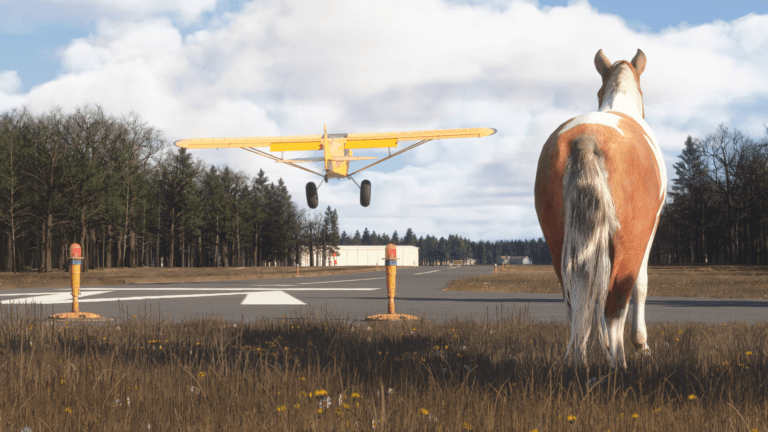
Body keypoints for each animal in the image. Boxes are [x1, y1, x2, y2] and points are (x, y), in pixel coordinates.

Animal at [533, 49, 666, 369]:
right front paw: (641, 344)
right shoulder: (651, 228)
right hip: (629, 243)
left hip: (558, 242)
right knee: (615, 305)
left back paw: (580, 364)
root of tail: (587, 139)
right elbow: (641, 285)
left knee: (577, 303)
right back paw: (619, 366)